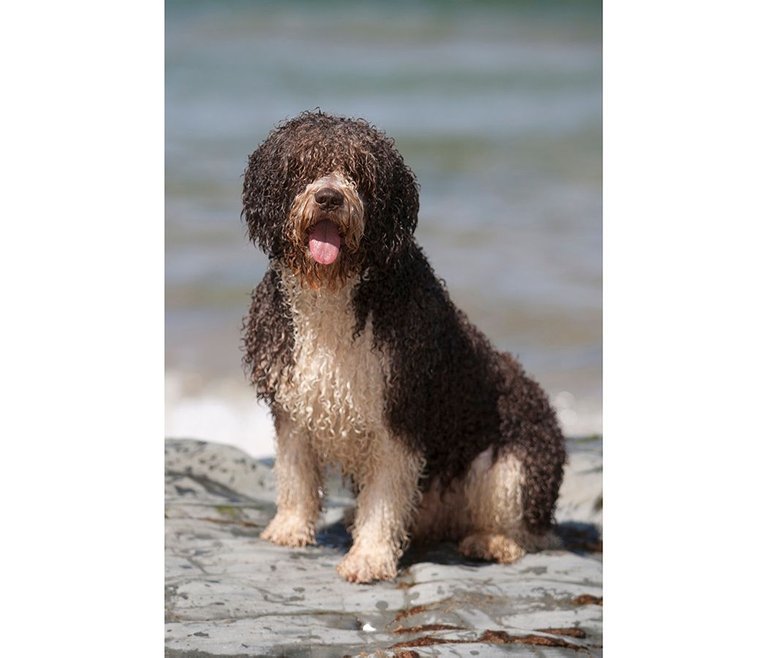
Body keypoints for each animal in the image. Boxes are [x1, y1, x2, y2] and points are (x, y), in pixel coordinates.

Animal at [243, 110, 568, 580]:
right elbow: (295, 474)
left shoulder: (400, 413)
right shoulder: (294, 402)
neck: (334, 293)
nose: (328, 198)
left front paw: (369, 557)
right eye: (304, 164)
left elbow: (384, 499)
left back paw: (493, 541)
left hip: (515, 461)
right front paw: (289, 528)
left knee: (528, 528)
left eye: (359, 171)